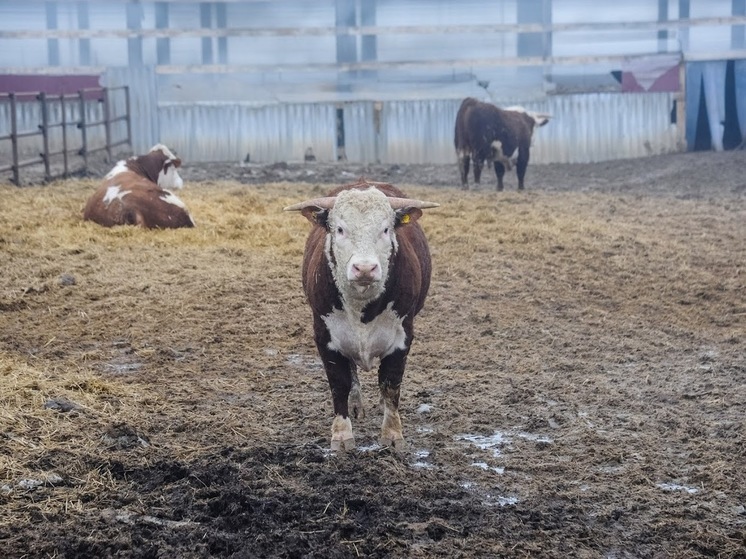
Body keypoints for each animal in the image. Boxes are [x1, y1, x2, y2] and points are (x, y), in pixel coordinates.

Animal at [284, 182, 436, 452]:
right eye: (340, 229)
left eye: (385, 229)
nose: (364, 268)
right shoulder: (325, 337)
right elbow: (339, 384)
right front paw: (341, 435)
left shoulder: (402, 337)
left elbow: (390, 384)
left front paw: (392, 434)